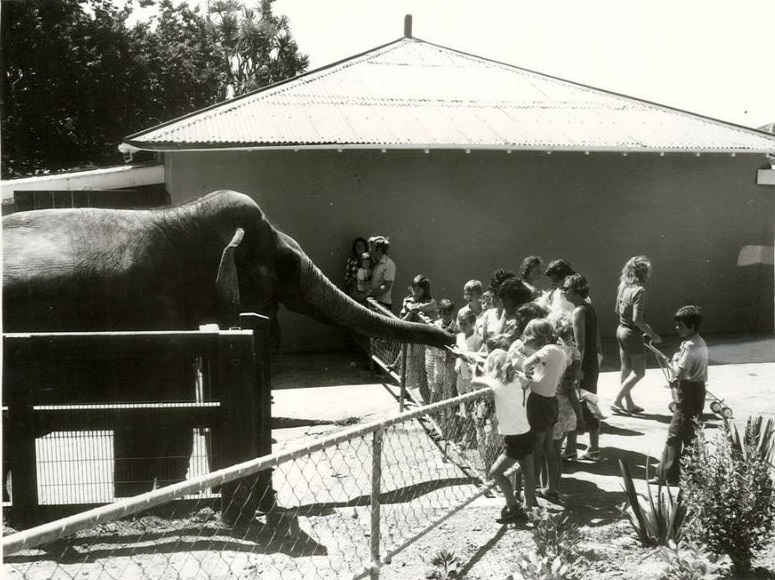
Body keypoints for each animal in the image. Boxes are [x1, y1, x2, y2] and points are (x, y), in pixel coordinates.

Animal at [4, 189, 454, 498]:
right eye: (286, 263)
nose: (449, 338)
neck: (178, 217)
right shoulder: (152, 319)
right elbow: (161, 410)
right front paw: (152, 501)